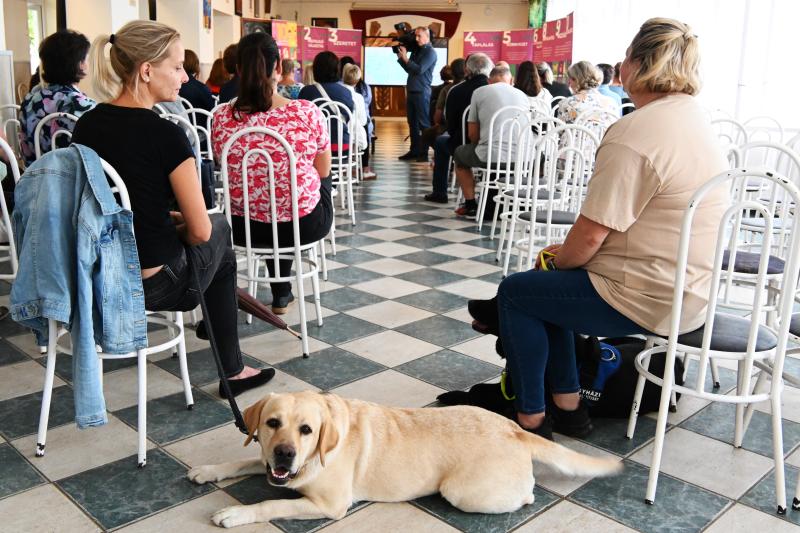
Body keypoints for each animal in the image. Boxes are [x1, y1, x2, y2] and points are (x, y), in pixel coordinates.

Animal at [191, 388, 620, 524]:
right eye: (272, 423)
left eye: (306, 430)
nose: (285, 453)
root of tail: (513, 428)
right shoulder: (269, 463)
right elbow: (243, 461)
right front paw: (208, 470)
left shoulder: (329, 505)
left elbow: (270, 504)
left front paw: (235, 513)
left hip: (462, 492)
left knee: (525, 493)